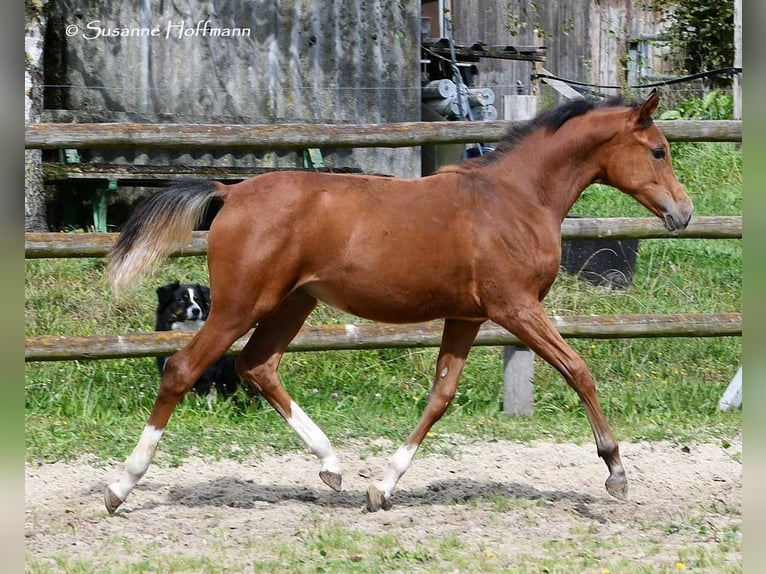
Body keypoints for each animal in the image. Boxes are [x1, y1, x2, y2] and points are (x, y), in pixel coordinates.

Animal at [100, 90, 688, 516]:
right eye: (658, 151)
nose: (682, 213)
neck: (514, 199)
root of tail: (232, 191)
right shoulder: (516, 308)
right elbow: (577, 369)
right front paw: (615, 472)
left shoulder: (467, 316)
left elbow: (440, 396)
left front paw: (381, 489)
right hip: (238, 305)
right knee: (182, 369)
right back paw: (121, 486)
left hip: (292, 303)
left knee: (257, 365)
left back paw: (332, 466)